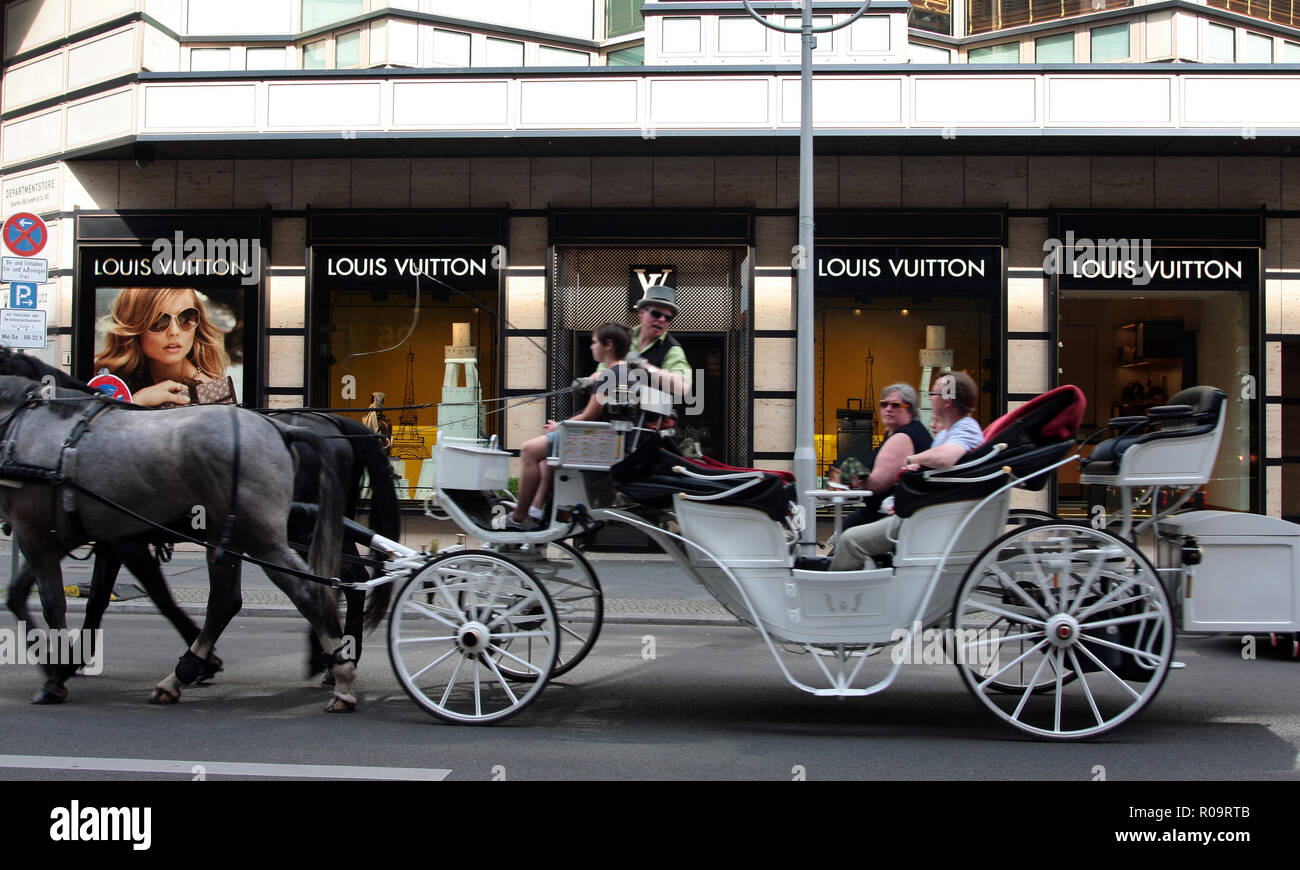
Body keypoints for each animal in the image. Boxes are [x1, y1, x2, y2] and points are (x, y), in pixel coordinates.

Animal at [0, 374, 358, 707]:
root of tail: (280, 429)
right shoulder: (75, 537)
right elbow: (42, 596)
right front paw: (60, 661)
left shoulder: (45, 534)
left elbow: (57, 602)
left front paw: (56, 673)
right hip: (230, 533)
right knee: (228, 600)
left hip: (264, 536)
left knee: (311, 589)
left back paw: (338, 672)